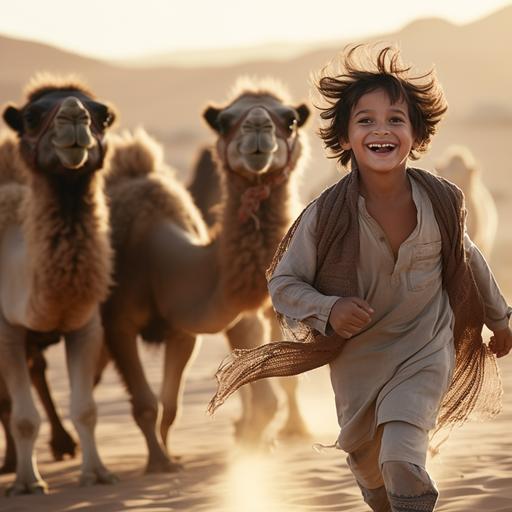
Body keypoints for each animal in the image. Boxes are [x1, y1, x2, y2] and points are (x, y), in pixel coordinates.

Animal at [0, 75, 116, 492]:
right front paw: (28, 482)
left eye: (103, 114)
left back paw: (61, 446)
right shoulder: (7, 329)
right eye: (31, 117)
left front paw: (97, 472)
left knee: (37, 371)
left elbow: (86, 409)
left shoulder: (86, 324)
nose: (74, 115)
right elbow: (22, 417)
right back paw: (11, 464)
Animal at [100, 80, 308, 472]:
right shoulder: (117, 324)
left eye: (289, 119)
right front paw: (159, 464)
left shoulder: (183, 331)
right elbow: (147, 403)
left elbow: (170, 406)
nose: (258, 127)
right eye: (224, 121)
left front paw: (171, 456)